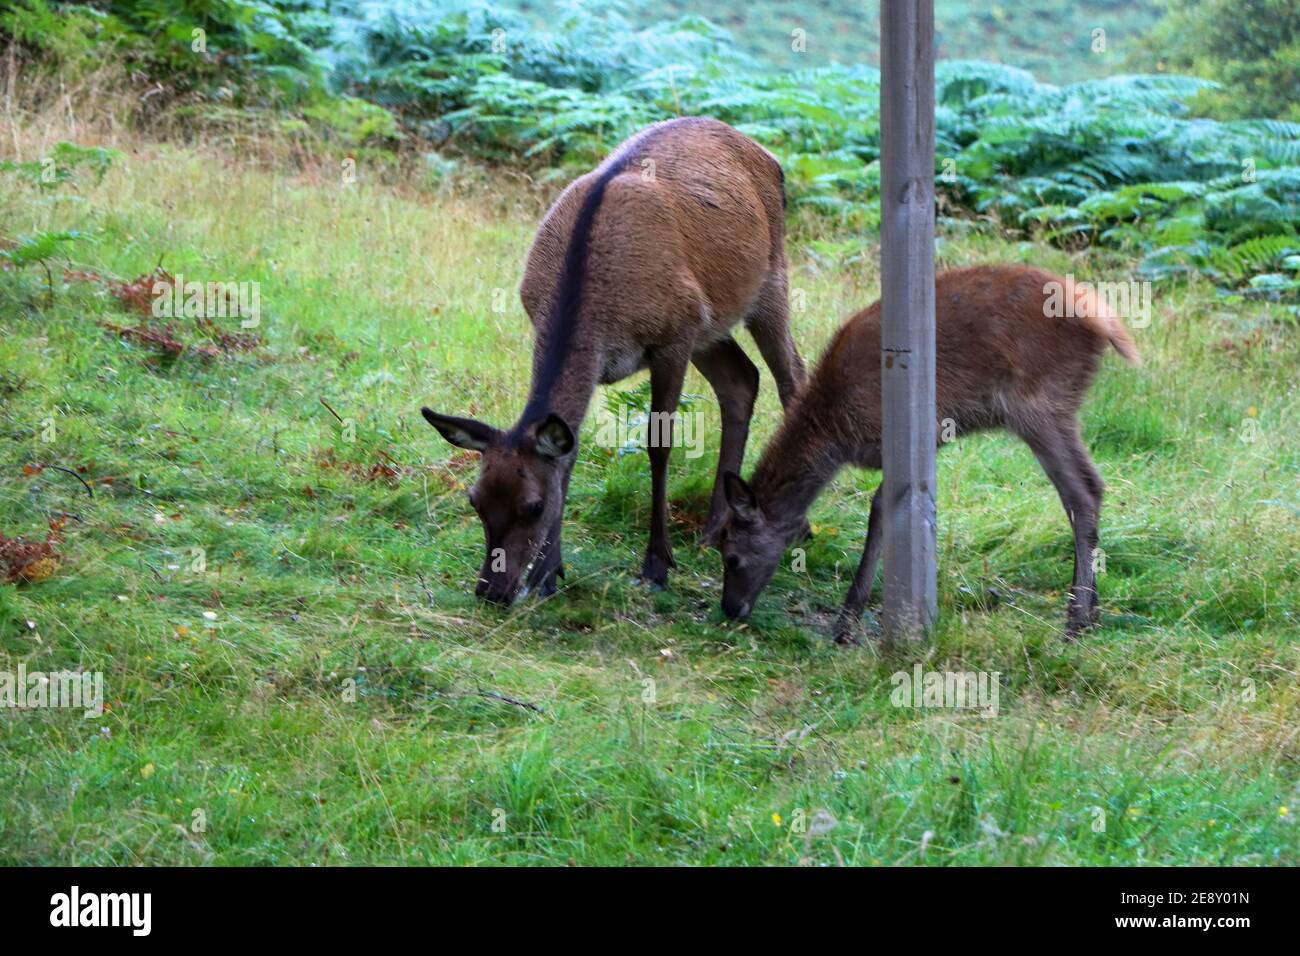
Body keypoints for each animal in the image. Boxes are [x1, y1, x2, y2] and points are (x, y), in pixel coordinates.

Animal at [422, 117, 806, 606]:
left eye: (533, 506)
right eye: (475, 500)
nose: (491, 590)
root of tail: (770, 158)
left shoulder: (674, 336)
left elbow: (659, 446)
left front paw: (656, 566)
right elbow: (569, 451)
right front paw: (549, 574)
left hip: (769, 281)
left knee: (792, 374)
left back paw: (799, 528)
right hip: (712, 325)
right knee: (741, 378)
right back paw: (713, 531)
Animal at [716, 264, 1141, 642]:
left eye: (731, 556)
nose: (730, 609)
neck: (836, 433)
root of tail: (1103, 320)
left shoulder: (909, 433)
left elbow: (881, 506)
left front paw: (846, 620)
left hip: (1039, 405)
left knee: (1081, 490)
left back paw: (1075, 622)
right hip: (1055, 407)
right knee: (1090, 486)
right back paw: (1093, 613)